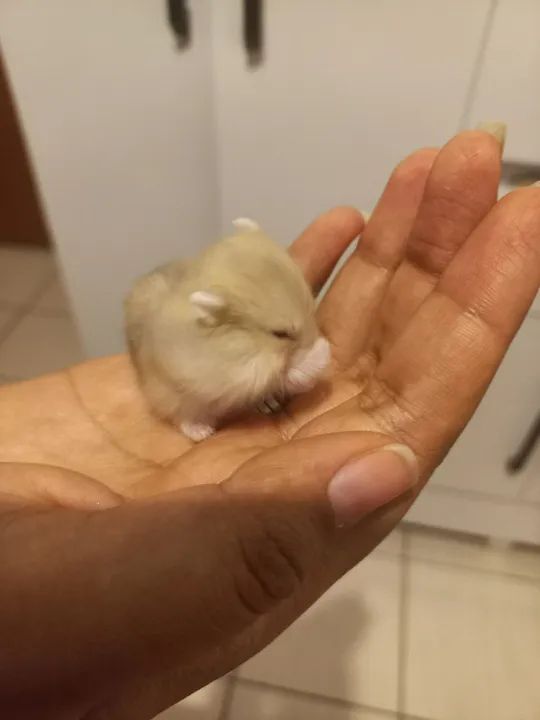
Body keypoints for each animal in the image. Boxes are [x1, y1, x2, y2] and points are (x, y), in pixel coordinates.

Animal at [124, 218, 330, 441]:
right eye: (281, 334)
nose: (315, 340)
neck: (245, 341)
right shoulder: (240, 376)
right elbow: (285, 375)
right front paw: (322, 351)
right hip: (174, 396)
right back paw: (202, 432)